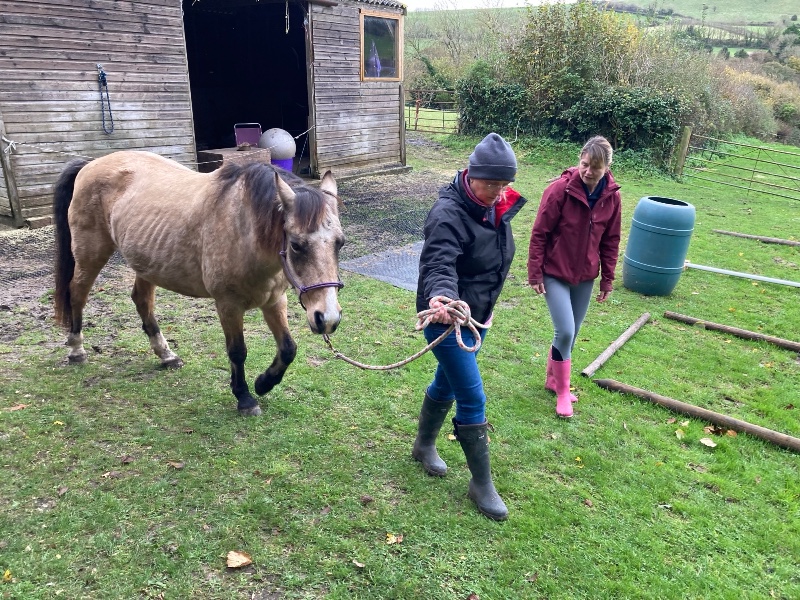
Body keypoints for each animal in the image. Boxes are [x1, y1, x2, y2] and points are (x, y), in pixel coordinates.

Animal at [53, 150, 344, 414]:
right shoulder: (228, 305)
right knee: (77, 294)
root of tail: (90, 163)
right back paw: (77, 350)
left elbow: (288, 349)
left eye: (340, 243)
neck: (244, 228)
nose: (327, 318)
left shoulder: (274, 300)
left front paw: (263, 383)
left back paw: (166, 355)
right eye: (296, 245)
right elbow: (237, 351)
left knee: (141, 300)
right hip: (91, 254)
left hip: (146, 263)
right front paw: (245, 398)